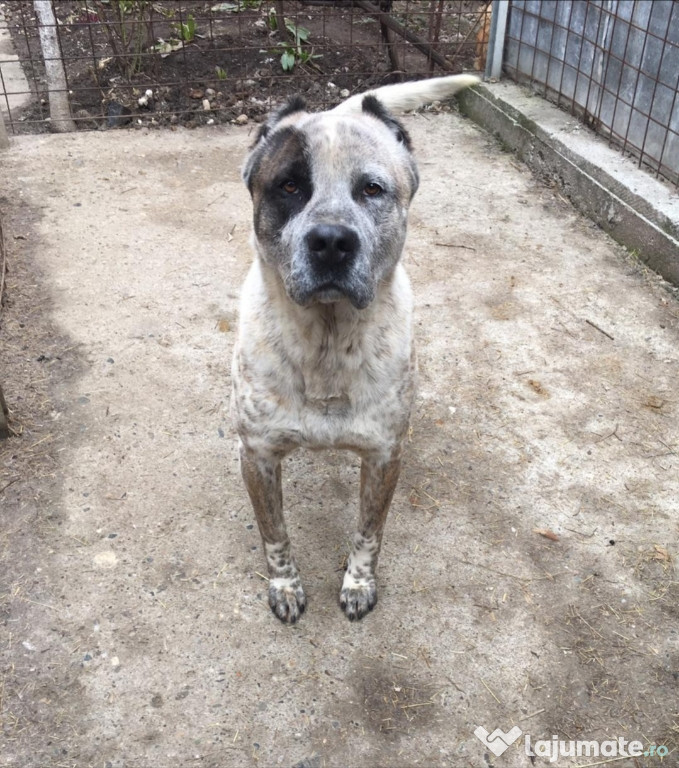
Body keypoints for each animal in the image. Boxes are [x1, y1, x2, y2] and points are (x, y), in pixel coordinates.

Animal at [232, 73, 478, 624]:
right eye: (289, 186)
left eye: (372, 188)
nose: (330, 242)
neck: (326, 344)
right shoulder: (257, 456)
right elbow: (274, 534)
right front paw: (284, 586)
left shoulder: (385, 456)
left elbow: (369, 532)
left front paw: (359, 582)